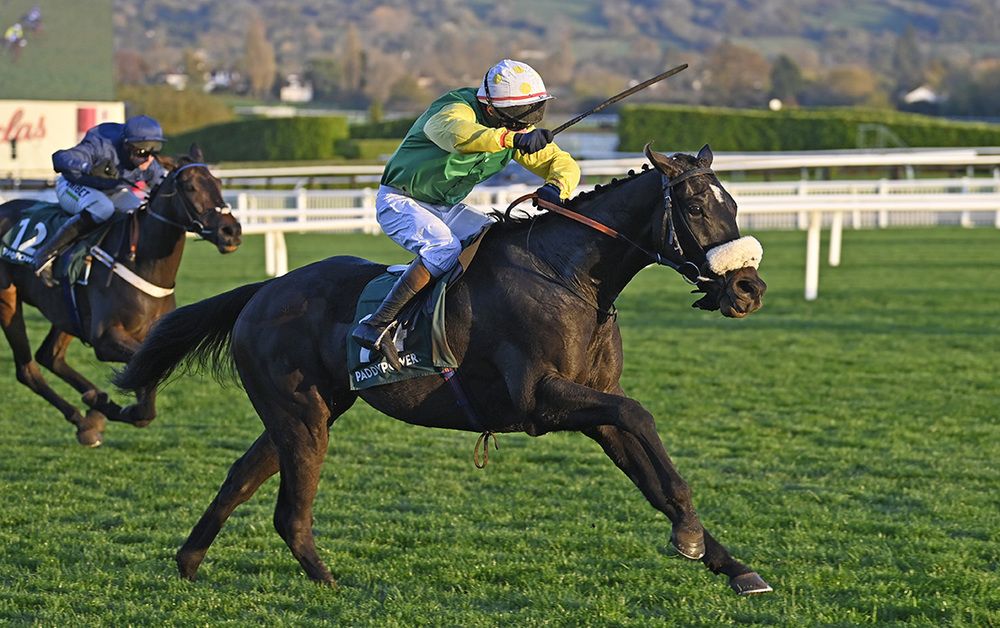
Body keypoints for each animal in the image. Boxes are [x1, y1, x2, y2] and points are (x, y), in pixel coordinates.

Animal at [0, 146, 242, 446]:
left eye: (218, 183)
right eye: (189, 186)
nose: (231, 231)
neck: (141, 263)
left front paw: (105, 403)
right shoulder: (105, 337)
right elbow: (142, 384)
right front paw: (119, 407)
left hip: (67, 312)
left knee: (50, 356)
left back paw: (90, 413)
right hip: (8, 300)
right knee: (28, 370)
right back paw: (85, 417)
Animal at [117, 145, 772, 596]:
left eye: (735, 204)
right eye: (694, 205)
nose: (748, 288)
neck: (569, 277)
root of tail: (263, 290)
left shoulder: (593, 402)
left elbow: (656, 479)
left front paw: (727, 561)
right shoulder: (540, 401)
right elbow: (641, 414)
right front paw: (693, 539)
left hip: (304, 410)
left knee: (240, 477)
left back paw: (189, 562)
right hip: (302, 417)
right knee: (288, 512)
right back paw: (329, 583)